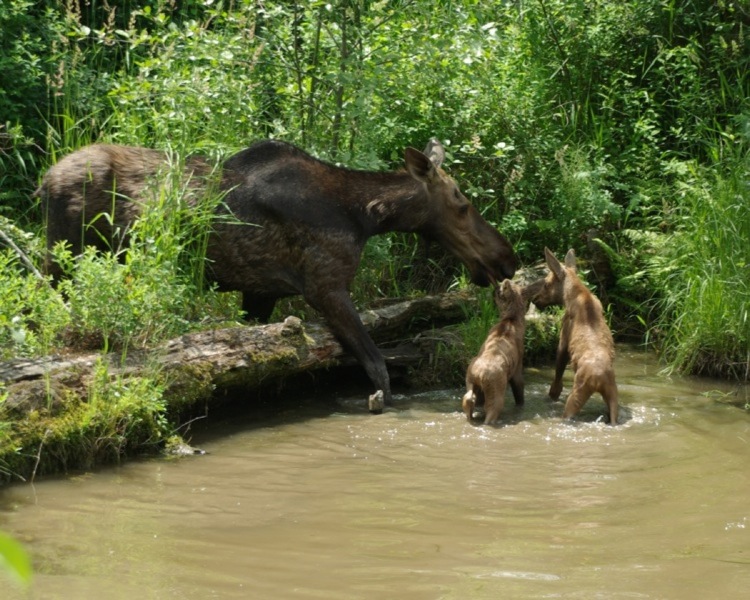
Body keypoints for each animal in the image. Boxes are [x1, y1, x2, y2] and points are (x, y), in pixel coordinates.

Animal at [38, 140, 520, 410]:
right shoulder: (325, 286)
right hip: (64, 258)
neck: (367, 217)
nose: (507, 258)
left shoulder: (260, 293)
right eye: (461, 203)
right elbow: (379, 368)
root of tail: (43, 182)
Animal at [462, 278, 524, 424]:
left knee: (469, 397)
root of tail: (480, 374)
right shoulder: (518, 359)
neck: (512, 319)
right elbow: (518, 382)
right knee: (494, 405)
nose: (494, 287)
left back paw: (470, 414)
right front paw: (520, 402)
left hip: (471, 375)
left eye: (499, 289)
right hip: (496, 382)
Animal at [532, 246, 620, 424]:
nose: (534, 299)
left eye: (546, 284)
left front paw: (553, 394)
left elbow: (557, 375)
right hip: (613, 399)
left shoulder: (563, 340)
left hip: (575, 397)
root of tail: (599, 380)